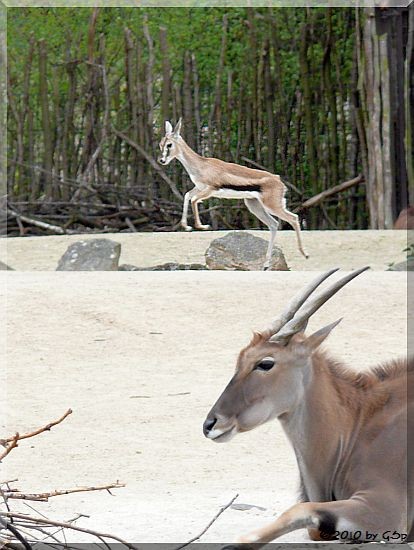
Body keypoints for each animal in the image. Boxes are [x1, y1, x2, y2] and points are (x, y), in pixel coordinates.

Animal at [158, 119, 308, 268]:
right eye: (161, 144)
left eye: (169, 144)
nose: (162, 160)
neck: (202, 165)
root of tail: (278, 180)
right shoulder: (199, 188)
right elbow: (187, 196)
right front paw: (186, 226)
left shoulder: (210, 189)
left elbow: (194, 200)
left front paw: (202, 226)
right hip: (255, 206)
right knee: (274, 224)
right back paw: (266, 264)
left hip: (272, 206)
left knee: (293, 218)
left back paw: (304, 254)